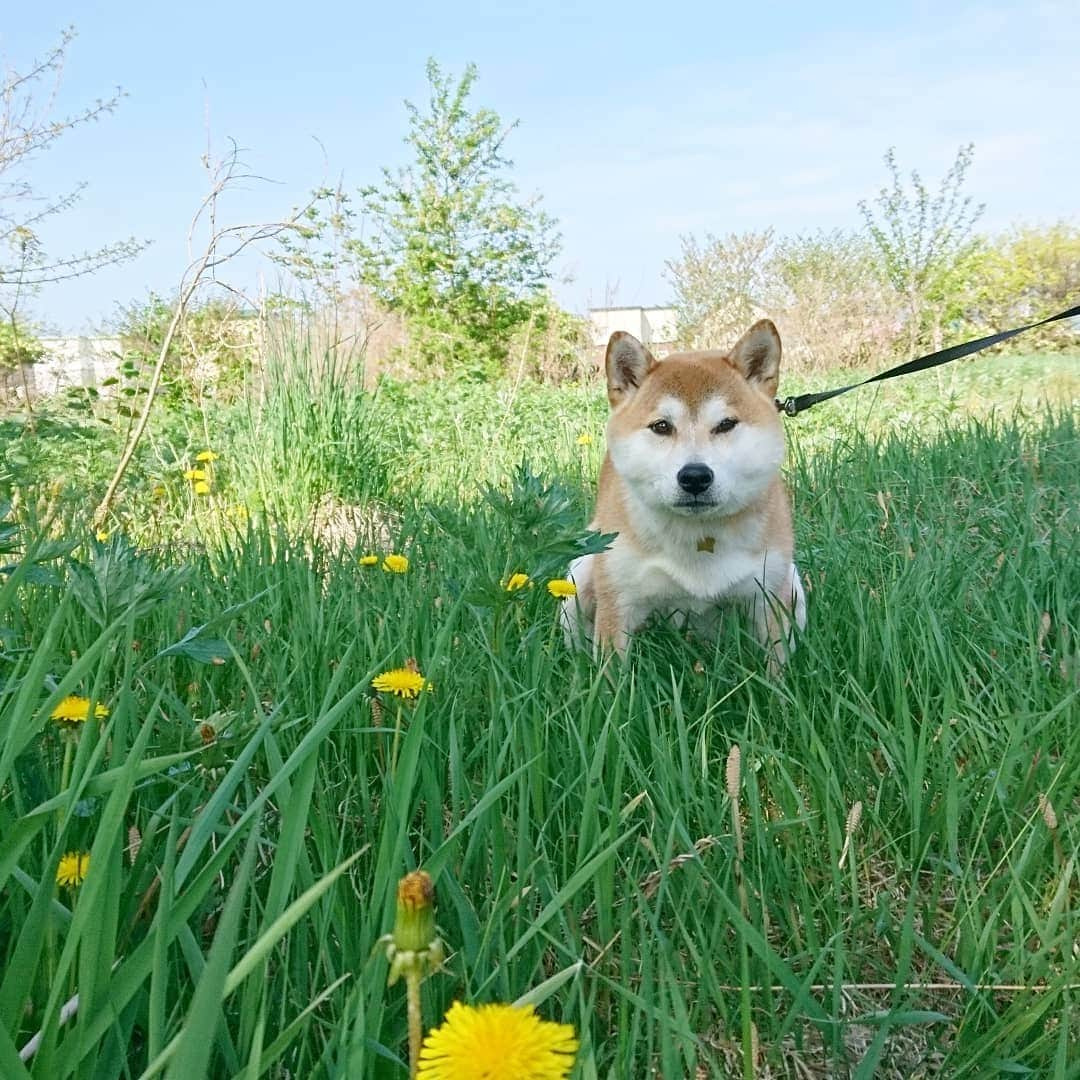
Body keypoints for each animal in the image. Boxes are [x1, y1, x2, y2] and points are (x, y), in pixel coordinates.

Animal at [565, 315, 803, 669]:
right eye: (661, 426)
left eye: (726, 424)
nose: (694, 476)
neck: (698, 534)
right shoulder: (617, 601)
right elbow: (610, 676)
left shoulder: (769, 596)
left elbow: (779, 666)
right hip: (579, 574)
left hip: (794, 584)